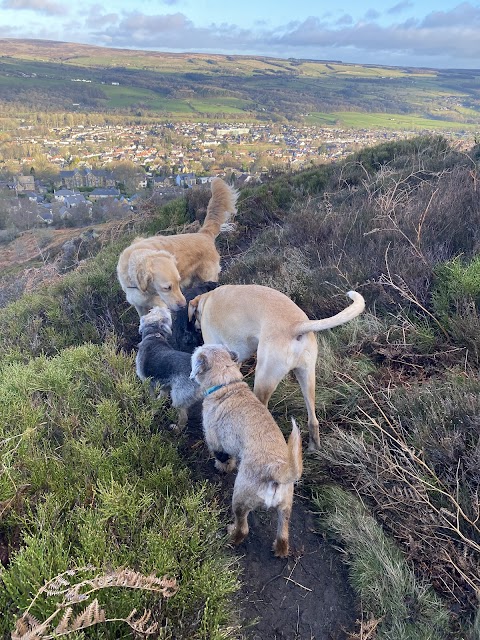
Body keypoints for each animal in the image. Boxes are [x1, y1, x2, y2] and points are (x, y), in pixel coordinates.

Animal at [116, 176, 236, 316]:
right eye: (167, 288)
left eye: (178, 283)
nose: (183, 305)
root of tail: (204, 234)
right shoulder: (139, 306)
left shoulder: (161, 305)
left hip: (209, 277)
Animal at [188, 284, 364, 450]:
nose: (194, 327)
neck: (208, 298)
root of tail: (296, 325)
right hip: (307, 378)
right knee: (313, 420)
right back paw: (314, 448)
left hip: (263, 380)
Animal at [189, 342, 302, 556]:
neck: (227, 384)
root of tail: (276, 472)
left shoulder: (215, 440)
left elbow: (222, 458)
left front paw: (221, 467)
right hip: (286, 508)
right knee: (283, 534)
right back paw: (279, 550)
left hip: (240, 499)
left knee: (243, 529)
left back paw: (231, 535)